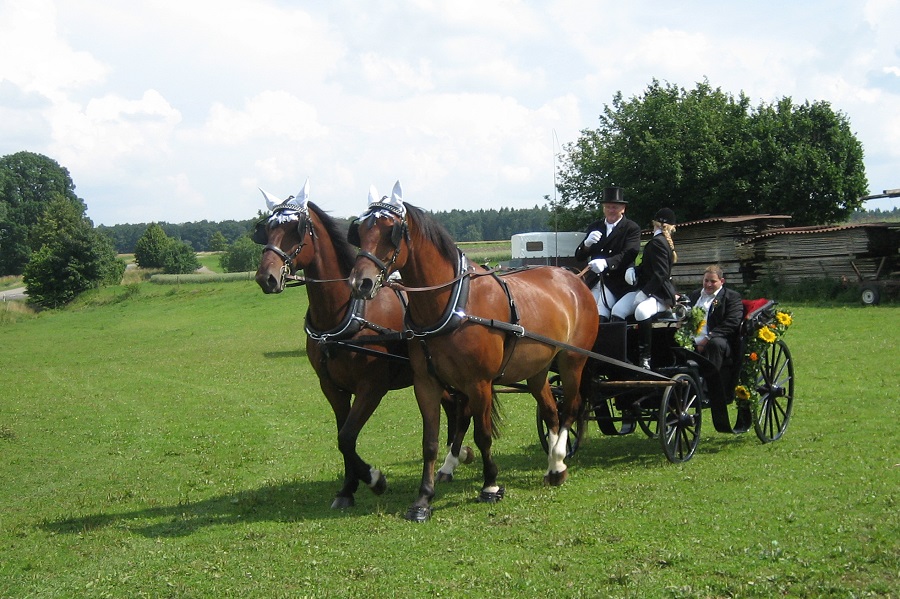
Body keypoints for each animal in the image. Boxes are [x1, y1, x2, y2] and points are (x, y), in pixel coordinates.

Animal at [253, 179, 472, 510]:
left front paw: (374, 479)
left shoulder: (372, 387)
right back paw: (454, 458)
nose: (266, 277)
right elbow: (343, 438)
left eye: (295, 229)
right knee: (454, 407)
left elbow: (346, 437)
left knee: (464, 408)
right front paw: (347, 488)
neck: (343, 313)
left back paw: (454, 459)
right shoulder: (332, 388)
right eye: (265, 229)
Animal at [348, 180, 600, 524]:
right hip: (537, 369)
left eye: (391, 231)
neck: (451, 303)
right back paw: (554, 467)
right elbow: (430, 442)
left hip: (573, 361)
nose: (360, 282)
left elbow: (482, 435)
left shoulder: (479, 383)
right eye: (359, 231)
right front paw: (423, 499)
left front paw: (491, 485)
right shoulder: (426, 383)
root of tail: (573, 278)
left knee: (570, 408)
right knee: (551, 411)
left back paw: (560, 458)